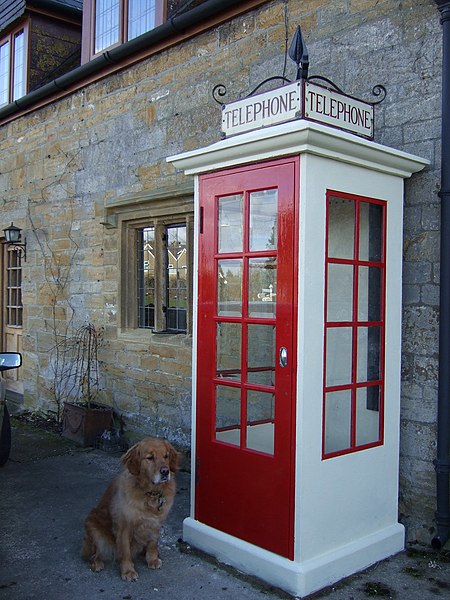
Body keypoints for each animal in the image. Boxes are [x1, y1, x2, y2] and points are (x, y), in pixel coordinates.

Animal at [81, 438, 179, 580]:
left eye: (166, 456)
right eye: (150, 457)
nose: (165, 472)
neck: (151, 493)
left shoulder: (155, 522)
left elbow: (153, 542)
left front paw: (152, 559)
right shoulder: (124, 526)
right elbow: (125, 551)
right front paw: (127, 571)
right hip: (93, 527)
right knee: (93, 554)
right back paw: (97, 563)